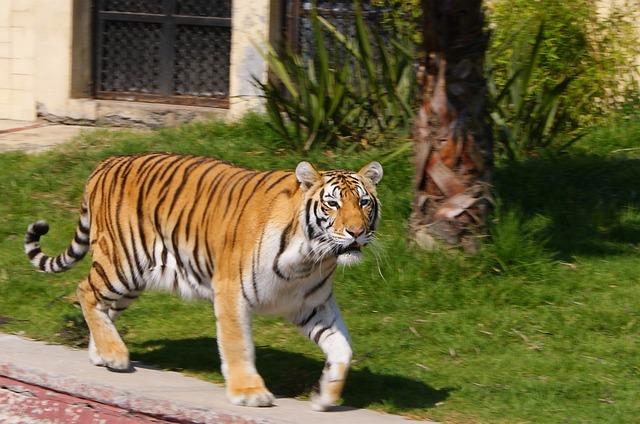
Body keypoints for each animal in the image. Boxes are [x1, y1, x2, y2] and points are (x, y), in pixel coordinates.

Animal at [23, 153, 384, 410]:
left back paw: (103, 353)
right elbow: (238, 346)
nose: (355, 232)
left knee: (103, 307)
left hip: (132, 280)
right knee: (85, 291)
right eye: (332, 203)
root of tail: (106, 163)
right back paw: (114, 354)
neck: (308, 259)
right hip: (121, 264)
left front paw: (325, 398)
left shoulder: (313, 305)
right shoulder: (231, 293)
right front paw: (249, 393)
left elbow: (342, 349)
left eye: (364, 202)